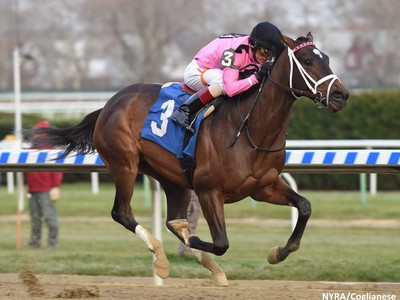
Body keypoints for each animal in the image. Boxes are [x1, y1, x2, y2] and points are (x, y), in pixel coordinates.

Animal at [31, 31, 348, 284]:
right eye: (307, 60)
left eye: (327, 58)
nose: (341, 95)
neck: (250, 130)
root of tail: (109, 104)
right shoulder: (210, 191)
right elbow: (220, 243)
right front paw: (196, 242)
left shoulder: (263, 187)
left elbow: (304, 206)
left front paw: (278, 253)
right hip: (124, 164)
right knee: (122, 213)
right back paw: (161, 258)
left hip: (173, 179)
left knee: (173, 220)